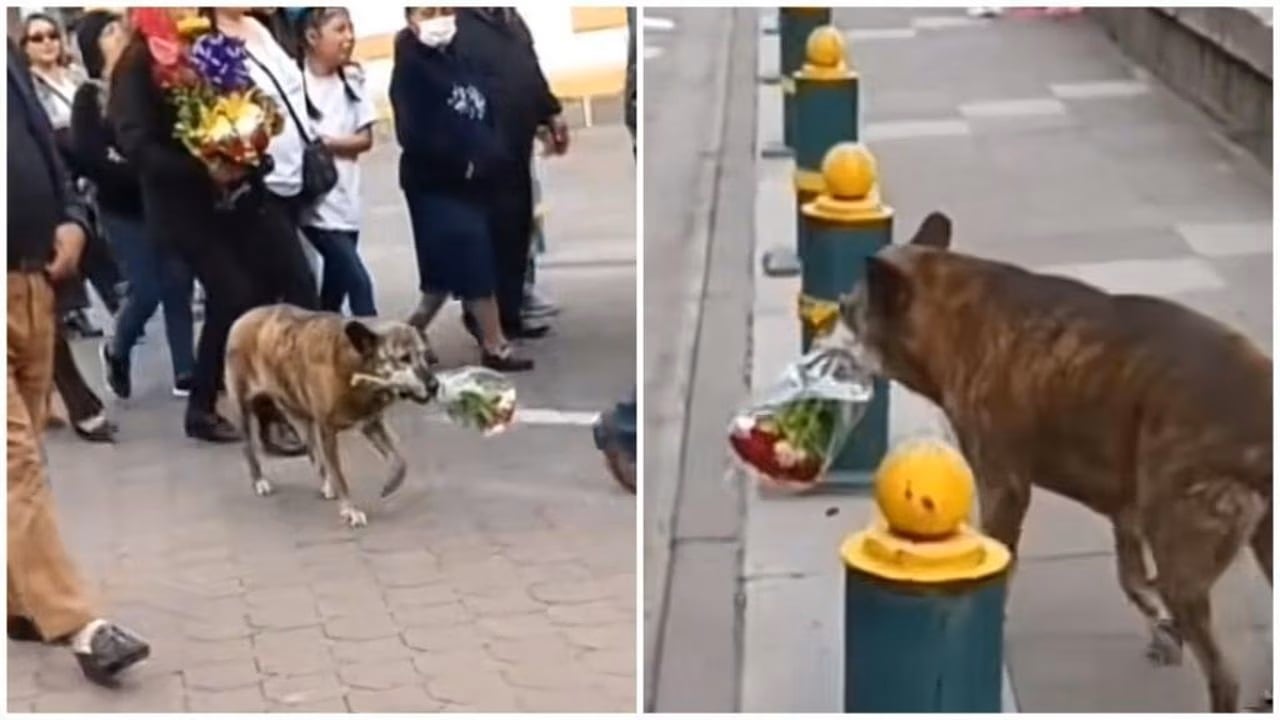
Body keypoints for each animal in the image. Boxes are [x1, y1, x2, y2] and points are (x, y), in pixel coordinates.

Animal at [224, 303, 435, 527]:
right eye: (404, 358)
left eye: (424, 354)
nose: (434, 386)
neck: (354, 367)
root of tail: (243, 317)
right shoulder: (328, 432)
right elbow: (340, 476)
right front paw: (350, 510)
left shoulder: (371, 423)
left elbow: (400, 462)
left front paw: (391, 483)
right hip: (243, 409)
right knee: (248, 449)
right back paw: (259, 481)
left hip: (299, 417)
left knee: (312, 453)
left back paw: (326, 484)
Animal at [824, 210, 1274, 707]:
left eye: (848, 309)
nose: (827, 322)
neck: (950, 309)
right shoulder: (1125, 509)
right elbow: (1131, 576)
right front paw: (1158, 626)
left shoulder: (1003, 487)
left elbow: (1007, 558)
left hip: (1183, 556)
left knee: (1223, 675)